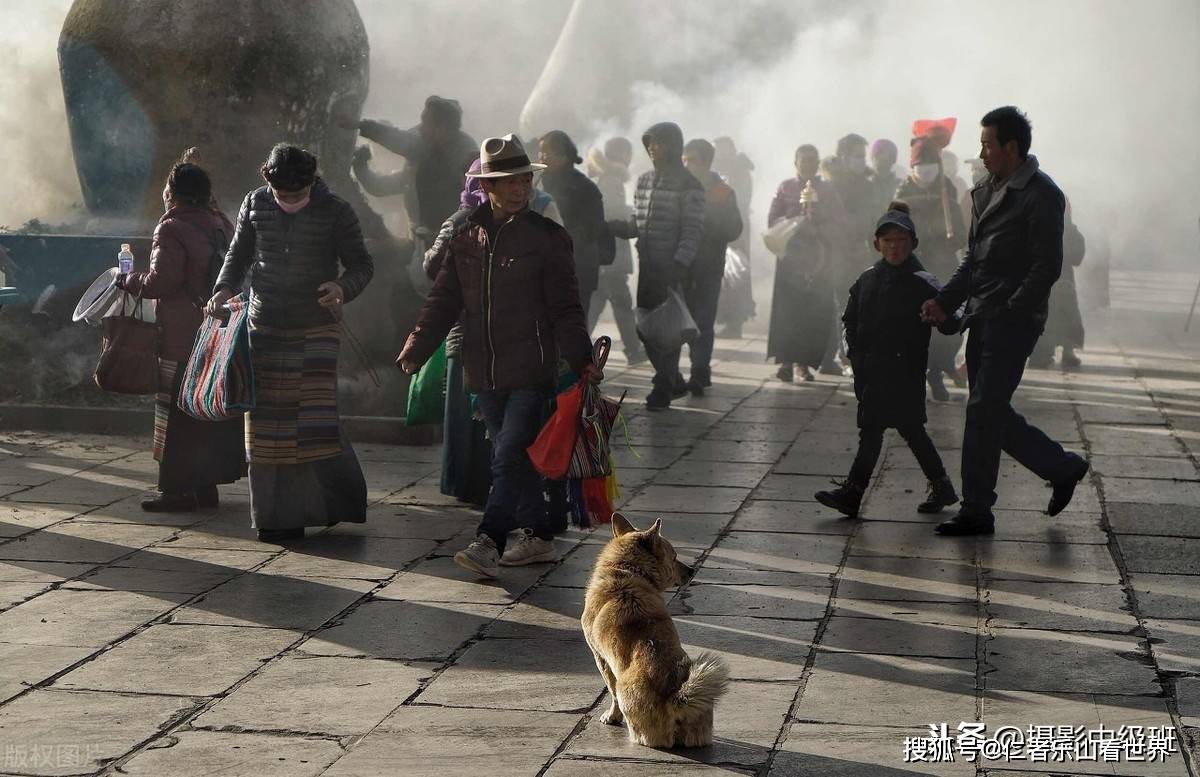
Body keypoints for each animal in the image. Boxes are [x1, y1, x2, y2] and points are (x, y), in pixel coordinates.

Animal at [580, 513, 729, 748]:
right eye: (674, 556)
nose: (691, 570)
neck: (626, 569)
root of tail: (675, 698)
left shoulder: (601, 659)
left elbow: (611, 693)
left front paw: (611, 717)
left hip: (624, 689)